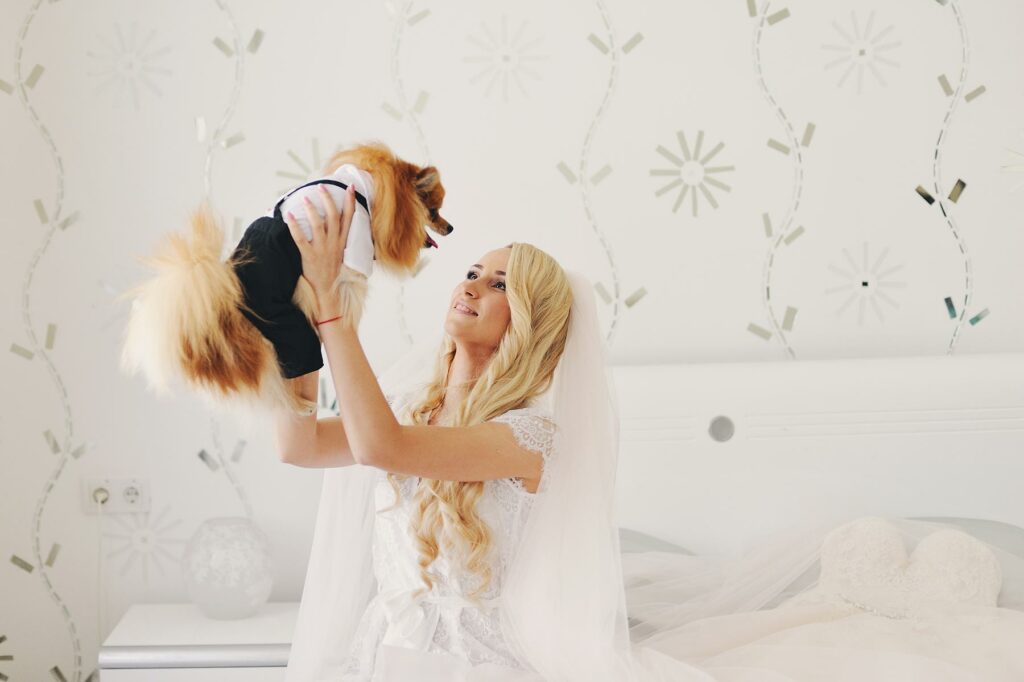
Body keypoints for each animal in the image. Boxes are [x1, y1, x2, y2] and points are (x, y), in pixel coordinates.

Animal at [117, 139, 452, 413]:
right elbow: (352, 279)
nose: (450, 227)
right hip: (289, 324)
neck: (365, 186)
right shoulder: (356, 235)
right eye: (434, 212)